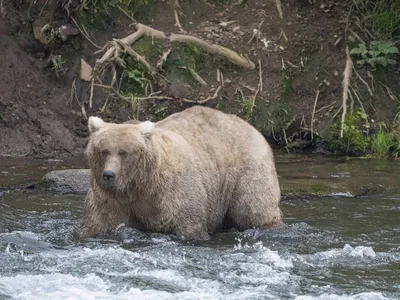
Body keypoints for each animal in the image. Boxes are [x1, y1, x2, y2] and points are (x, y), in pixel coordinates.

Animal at [79, 106, 282, 240]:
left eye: (124, 152)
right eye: (104, 150)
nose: (109, 175)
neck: (141, 185)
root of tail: (251, 126)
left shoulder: (173, 192)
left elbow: (189, 224)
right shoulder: (110, 199)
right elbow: (100, 222)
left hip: (246, 171)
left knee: (254, 208)